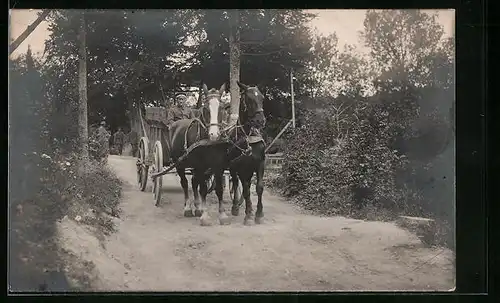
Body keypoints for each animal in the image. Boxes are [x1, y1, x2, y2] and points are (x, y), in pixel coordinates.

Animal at [167, 83, 231, 226]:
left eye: (222, 108)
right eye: (206, 109)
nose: (214, 134)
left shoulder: (218, 165)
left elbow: (219, 189)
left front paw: (222, 215)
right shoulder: (200, 165)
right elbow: (203, 189)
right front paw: (205, 216)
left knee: (194, 181)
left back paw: (197, 207)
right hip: (179, 163)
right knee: (185, 183)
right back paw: (188, 207)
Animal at [227, 82, 268, 227]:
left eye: (262, 98)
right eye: (249, 99)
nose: (260, 121)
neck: (249, 138)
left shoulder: (260, 163)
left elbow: (259, 187)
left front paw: (259, 214)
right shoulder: (241, 167)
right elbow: (245, 190)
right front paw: (249, 215)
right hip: (234, 168)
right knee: (235, 183)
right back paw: (235, 206)